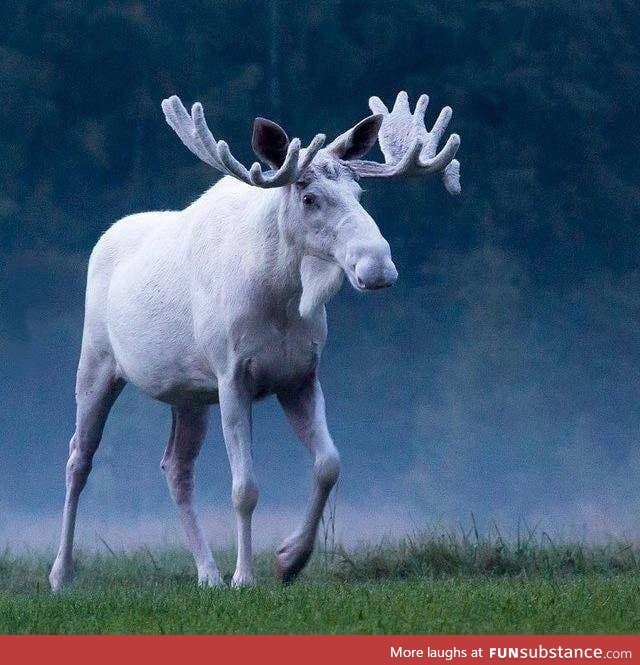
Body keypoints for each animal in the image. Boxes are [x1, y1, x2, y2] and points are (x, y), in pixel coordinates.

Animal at [48, 89, 460, 592]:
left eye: (360, 194)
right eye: (309, 196)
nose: (378, 266)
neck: (278, 298)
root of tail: (103, 238)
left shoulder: (299, 376)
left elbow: (329, 464)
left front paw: (289, 560)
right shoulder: (232, 376)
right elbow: (244, 488)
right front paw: (245, 577)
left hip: (189, 395)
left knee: (176, 468)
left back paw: (207, 573)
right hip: (96, 364)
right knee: (78, 460)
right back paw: (62, 574)